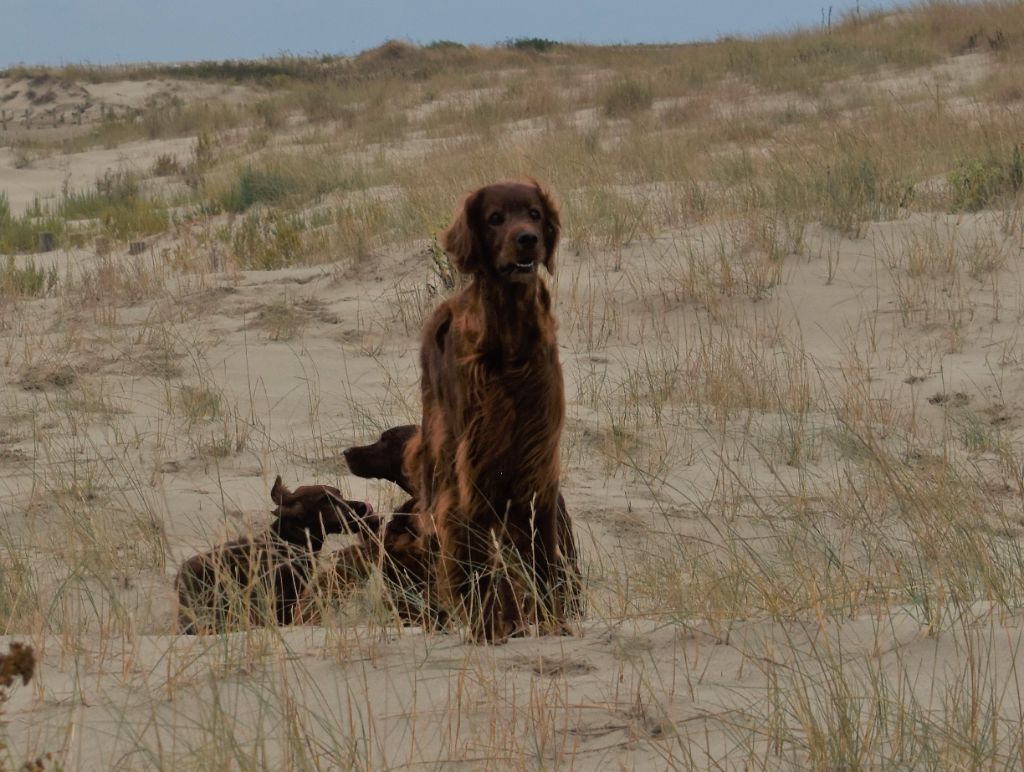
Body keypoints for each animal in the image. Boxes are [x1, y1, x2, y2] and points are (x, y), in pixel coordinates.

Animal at [175, 476, 375, 634]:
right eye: (325, 500)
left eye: (339, 493)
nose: (362, 507)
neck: (289, 544)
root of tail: (179, 579)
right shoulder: (284, 605)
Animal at [413, 179, 576, 641]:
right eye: (495, 218)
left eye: (535, 213)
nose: (528, 240)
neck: (512, 344)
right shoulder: (476, 469)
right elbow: (478, 555)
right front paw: (488, 626)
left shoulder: (536, 463)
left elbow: (542, 555)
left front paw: (554, 623)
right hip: (441, 457)